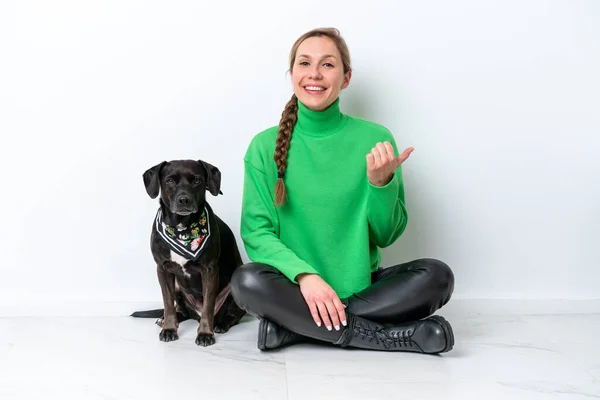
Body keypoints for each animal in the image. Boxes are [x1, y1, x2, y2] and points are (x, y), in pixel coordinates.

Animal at [131, 159, 244, 346]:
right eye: (170, 181)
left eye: (197, 180)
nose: (184, 199)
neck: (182, 228)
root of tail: (194, 315)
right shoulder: (163, 269)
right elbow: (168, 304)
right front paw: (169, 329)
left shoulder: (209, 270)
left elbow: (208, 306)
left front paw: (205, 333)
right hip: (178, 287)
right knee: (181, 311)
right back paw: (165, 319)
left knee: (231, 314)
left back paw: (220, 324)